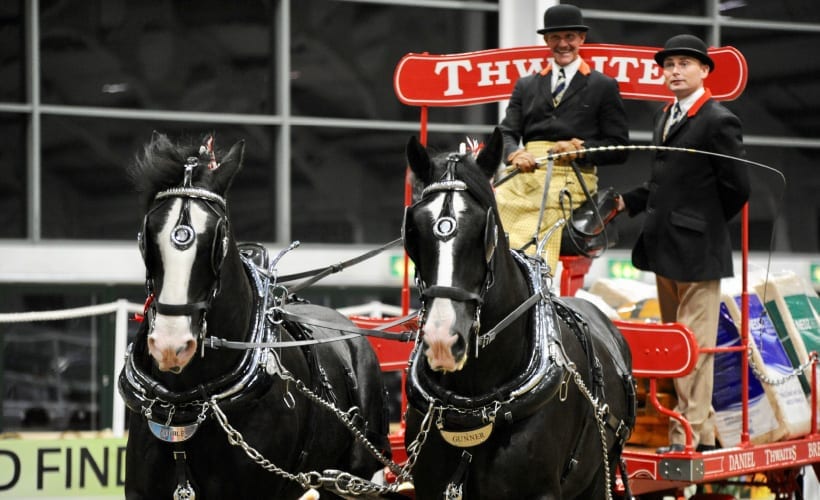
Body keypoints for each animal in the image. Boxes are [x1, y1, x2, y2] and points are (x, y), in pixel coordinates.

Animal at [400, 129, 636, 500]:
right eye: (414, 231)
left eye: (484, 230)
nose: (442, 340)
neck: (476, 403)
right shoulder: (430, 488)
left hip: (601, 473)